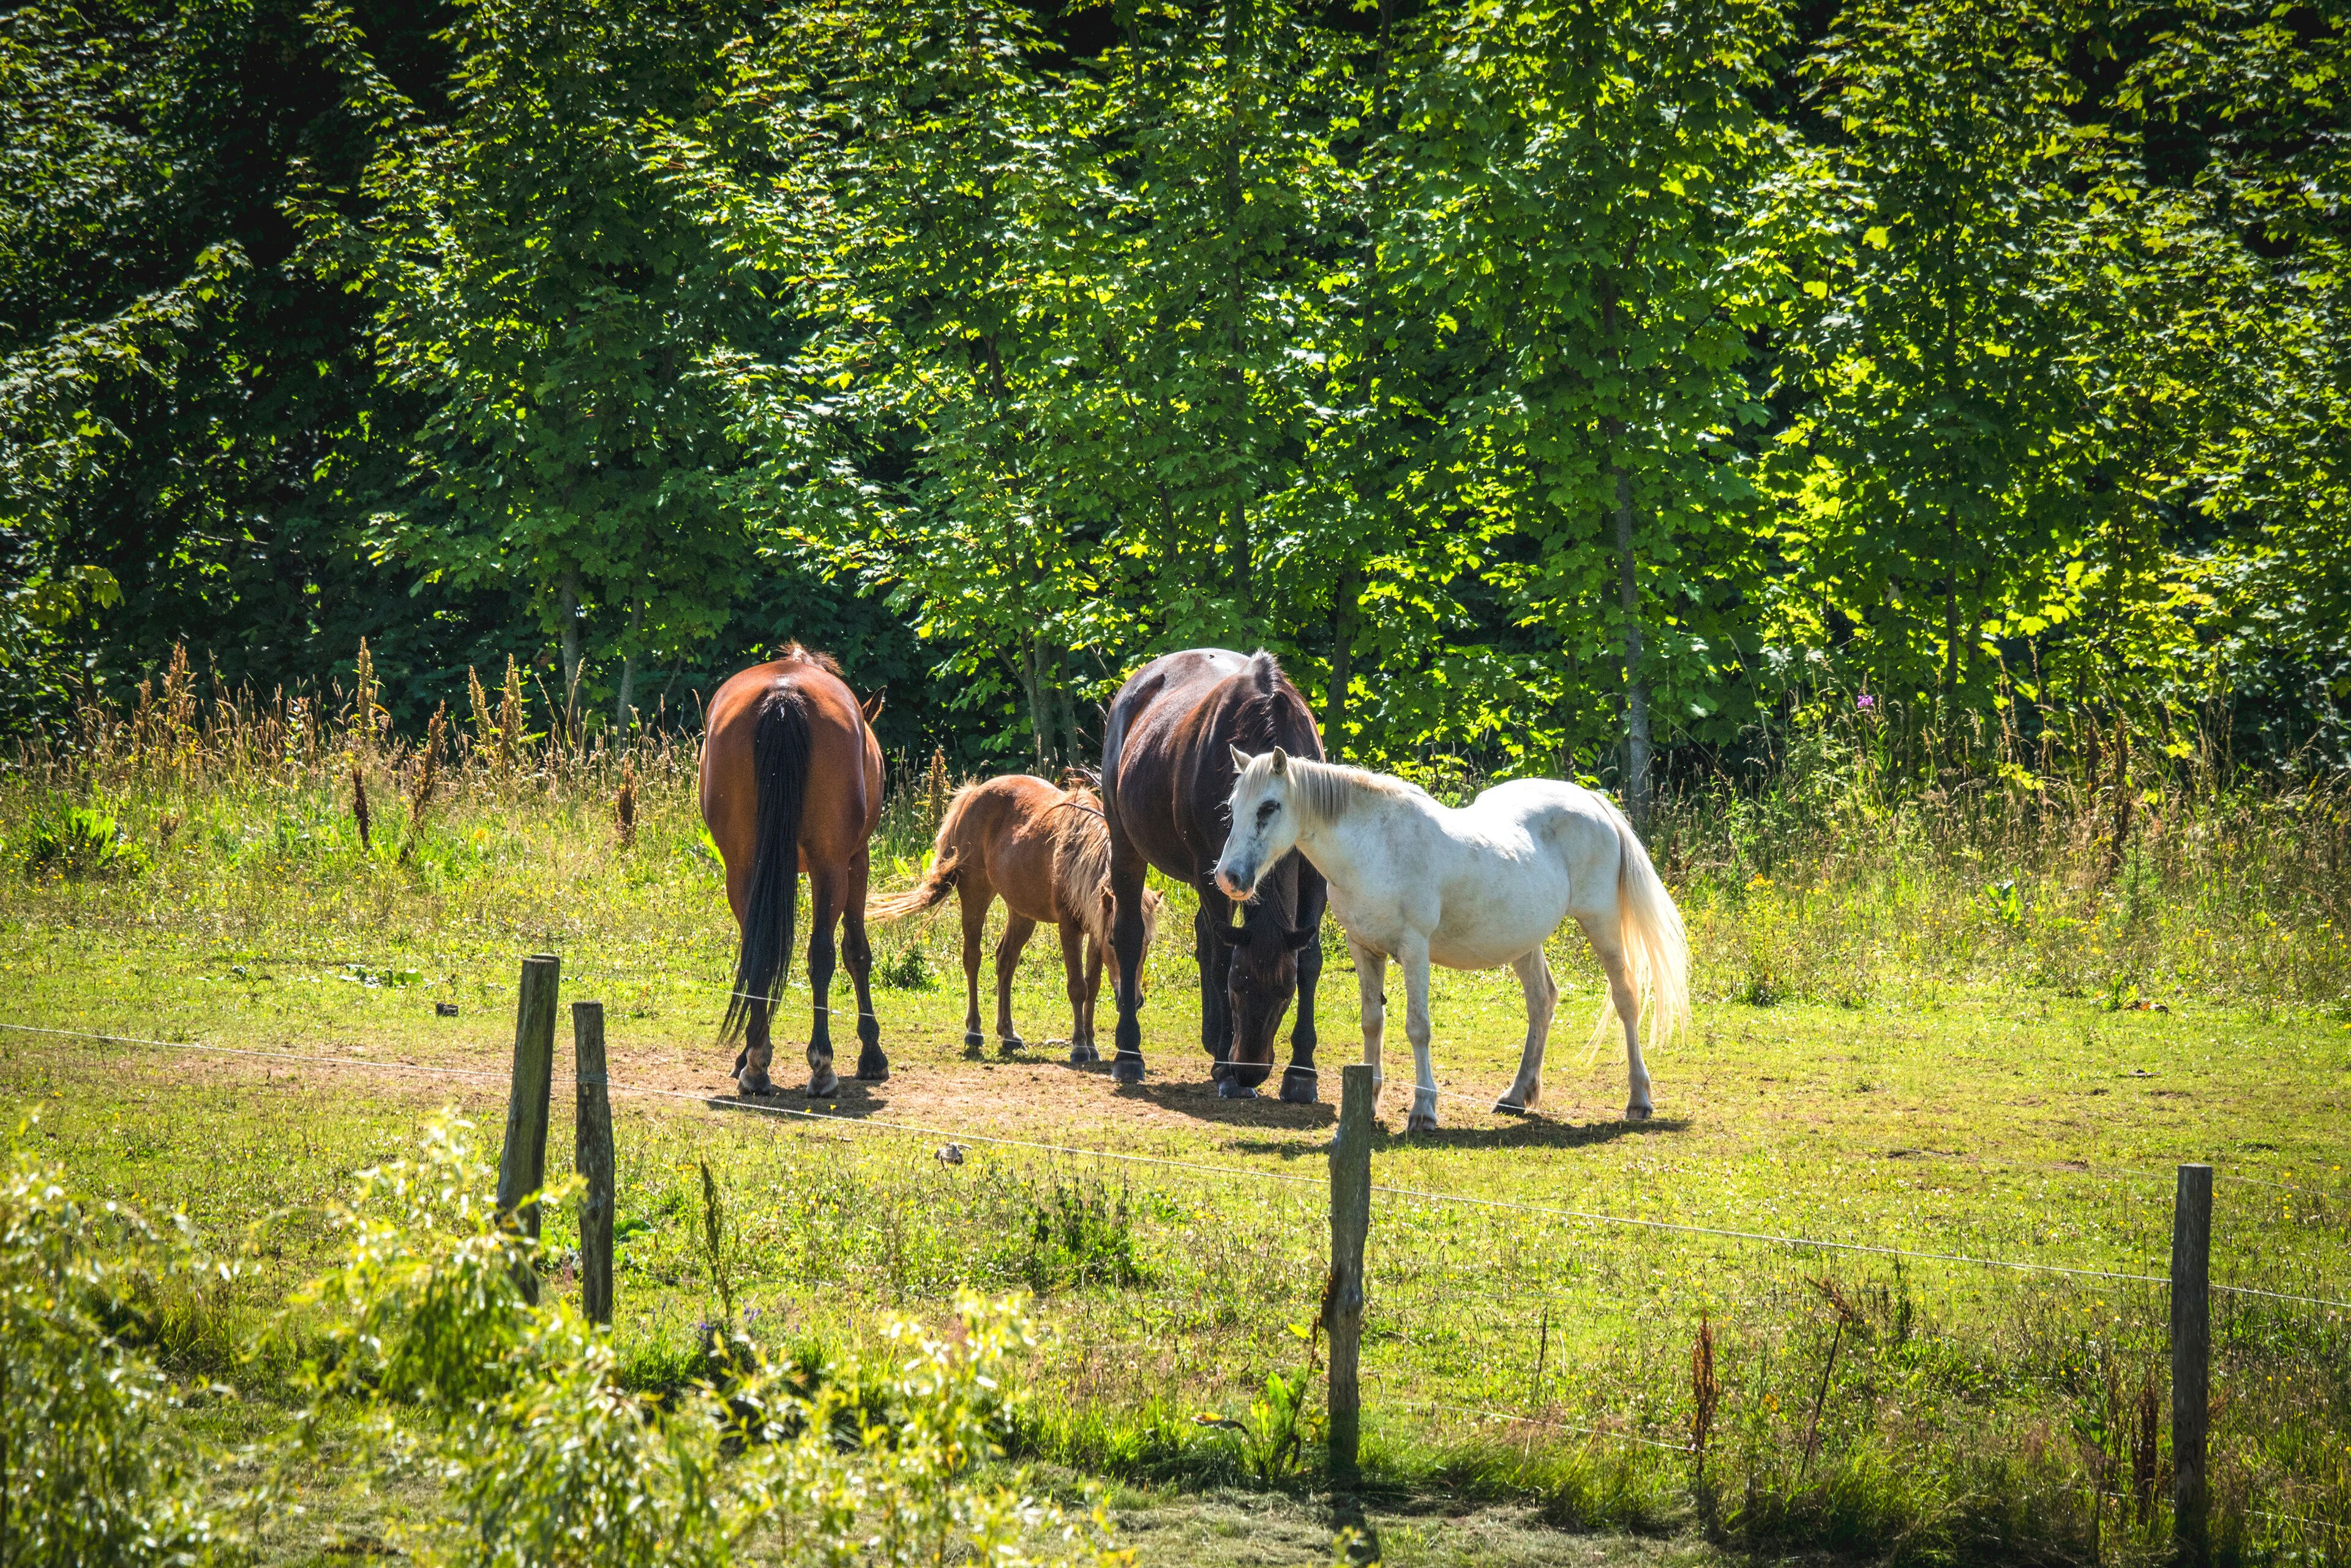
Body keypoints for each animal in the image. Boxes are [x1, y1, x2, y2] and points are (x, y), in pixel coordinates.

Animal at [700, 645, 887, 1098]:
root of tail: (784, 694)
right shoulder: (858, 860)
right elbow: (857, 951)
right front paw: (872, 1053)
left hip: (742, 867)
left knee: (757, 951)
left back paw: (754, 1063)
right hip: (831, 866)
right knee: (823, 953)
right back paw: (821, 1066)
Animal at [865, 774, 1165, 1058]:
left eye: (1146, 942)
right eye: (1115, 942)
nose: (1134, 1001)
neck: (1080, 857)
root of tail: (973, 793)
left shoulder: (1096, 929)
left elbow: (1092, 987)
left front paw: (1091, 1043)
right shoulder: (1070, 927)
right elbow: (1077, 987)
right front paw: (1080, 1046)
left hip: (1021, 913)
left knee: (1005, 961)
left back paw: (1008, 1034)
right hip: (976, 897)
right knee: (972, 959)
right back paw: (974, 1032)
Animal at [1101, 649, 1329, 1099]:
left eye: (1285, 993)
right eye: (1237, 987)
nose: (1250, 1072)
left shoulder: (1313, 874)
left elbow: (1309, 958)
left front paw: (1301, 1072)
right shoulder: (1212, 866)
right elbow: (1222, 957)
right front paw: (1225, 1068)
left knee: (1205, 932)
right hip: (1127, 846)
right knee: (1132, 935)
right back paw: (1129, 1053)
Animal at [1212, 747, 1690, 1131]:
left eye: (1269, 806)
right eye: (1233, 806)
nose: (1229, 878)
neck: (1373, 848)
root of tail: (1592, 802)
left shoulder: (1414, 949)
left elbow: (1417, 1027)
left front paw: (1423, 1111)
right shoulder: (1364, 950)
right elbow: (1372, 1022)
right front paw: (1369, 1105)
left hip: (1601, 923)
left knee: (1626, 998)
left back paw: (1639, 1100)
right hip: (1524, 941)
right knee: (1542, 1001)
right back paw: (1516, 1096)